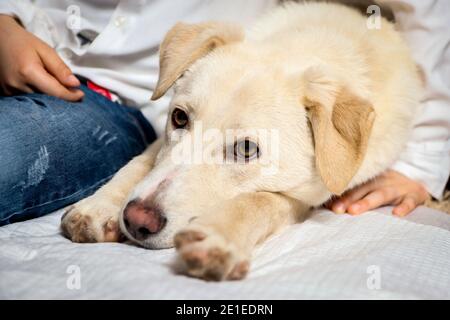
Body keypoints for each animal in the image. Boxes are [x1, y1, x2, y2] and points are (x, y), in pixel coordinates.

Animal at [60, 2, 422, 282]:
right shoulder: (161, 143)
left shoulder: (299, 197)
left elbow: (255, 201)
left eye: (246, 149)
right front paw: (99, 206)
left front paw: (215, 237)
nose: (136, 220)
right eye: (179, 118)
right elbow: (140, 163)